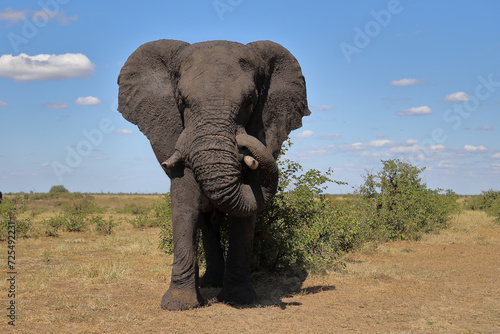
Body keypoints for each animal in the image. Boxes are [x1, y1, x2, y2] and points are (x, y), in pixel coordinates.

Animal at [118, 39, 308, 310]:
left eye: (250, 102)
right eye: (182, 102)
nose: (242, 139)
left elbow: (248, 205)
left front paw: (240, 300)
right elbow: (184, 202)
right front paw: (179, 305)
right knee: (206, 221)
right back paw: (209, 284)